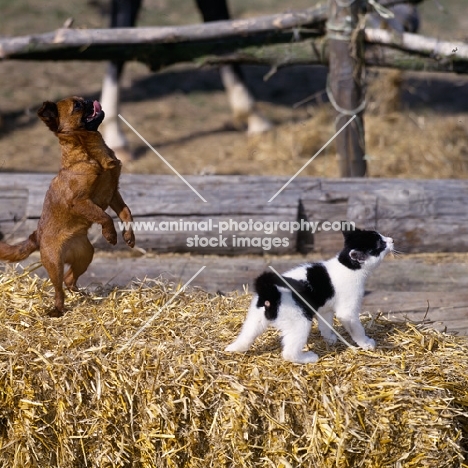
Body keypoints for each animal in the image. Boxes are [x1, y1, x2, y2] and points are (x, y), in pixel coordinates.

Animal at [0, 94, 134, 316]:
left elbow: (126, 213)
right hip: (54, 262)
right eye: (77, 105)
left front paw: (128, 236)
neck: (90, 153)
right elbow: (104, 216)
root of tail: (37, 236)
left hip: (85, 255)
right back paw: (57, 309)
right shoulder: (80, 201)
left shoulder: (113, 193)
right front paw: (110, 235)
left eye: (83, 100)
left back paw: (84, 297)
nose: (90, 100)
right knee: (58, 288)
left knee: (70, 279)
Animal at [225, 229, 394, 364]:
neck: (347, 266)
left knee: (245, 337)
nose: (392, 240)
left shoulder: (325, 310)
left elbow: (326, 325)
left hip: (255, 320)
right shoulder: (348, 313)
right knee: (289, 352)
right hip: (300, 322)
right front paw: (366, 343)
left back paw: (233, 348)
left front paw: (330, 338)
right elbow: (357, 330)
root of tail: (270, 293)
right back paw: (308, 358)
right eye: (380, 244)